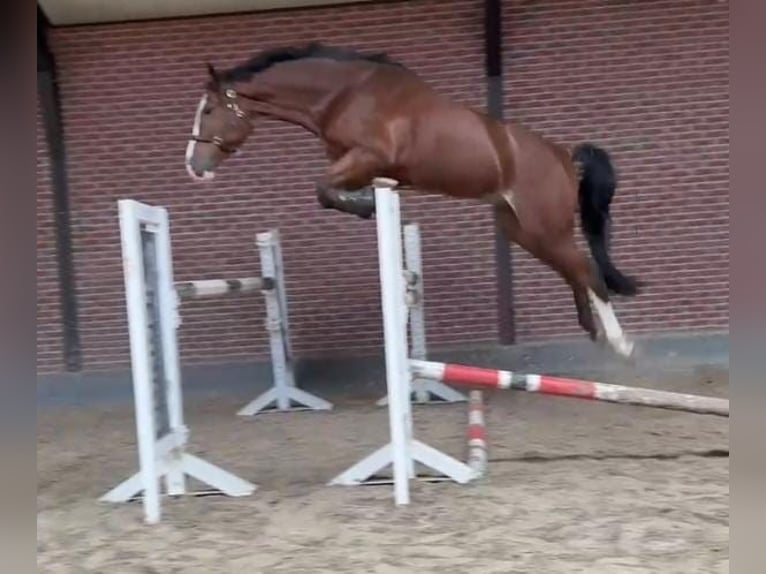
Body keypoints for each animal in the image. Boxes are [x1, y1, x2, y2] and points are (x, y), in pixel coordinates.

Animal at [185, 42, 641, 358]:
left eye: (207, 111)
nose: (193, 166)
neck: (343, 94)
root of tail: (564, 157)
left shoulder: (367, 158)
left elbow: (323, 190)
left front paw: (366, 206)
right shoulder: (356, 164)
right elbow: (329, 191)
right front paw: (365, 203)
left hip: (544, 226)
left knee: (587, 271)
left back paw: (620, 343)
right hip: (523, 231)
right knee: (574, 270)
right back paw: (592, 331)